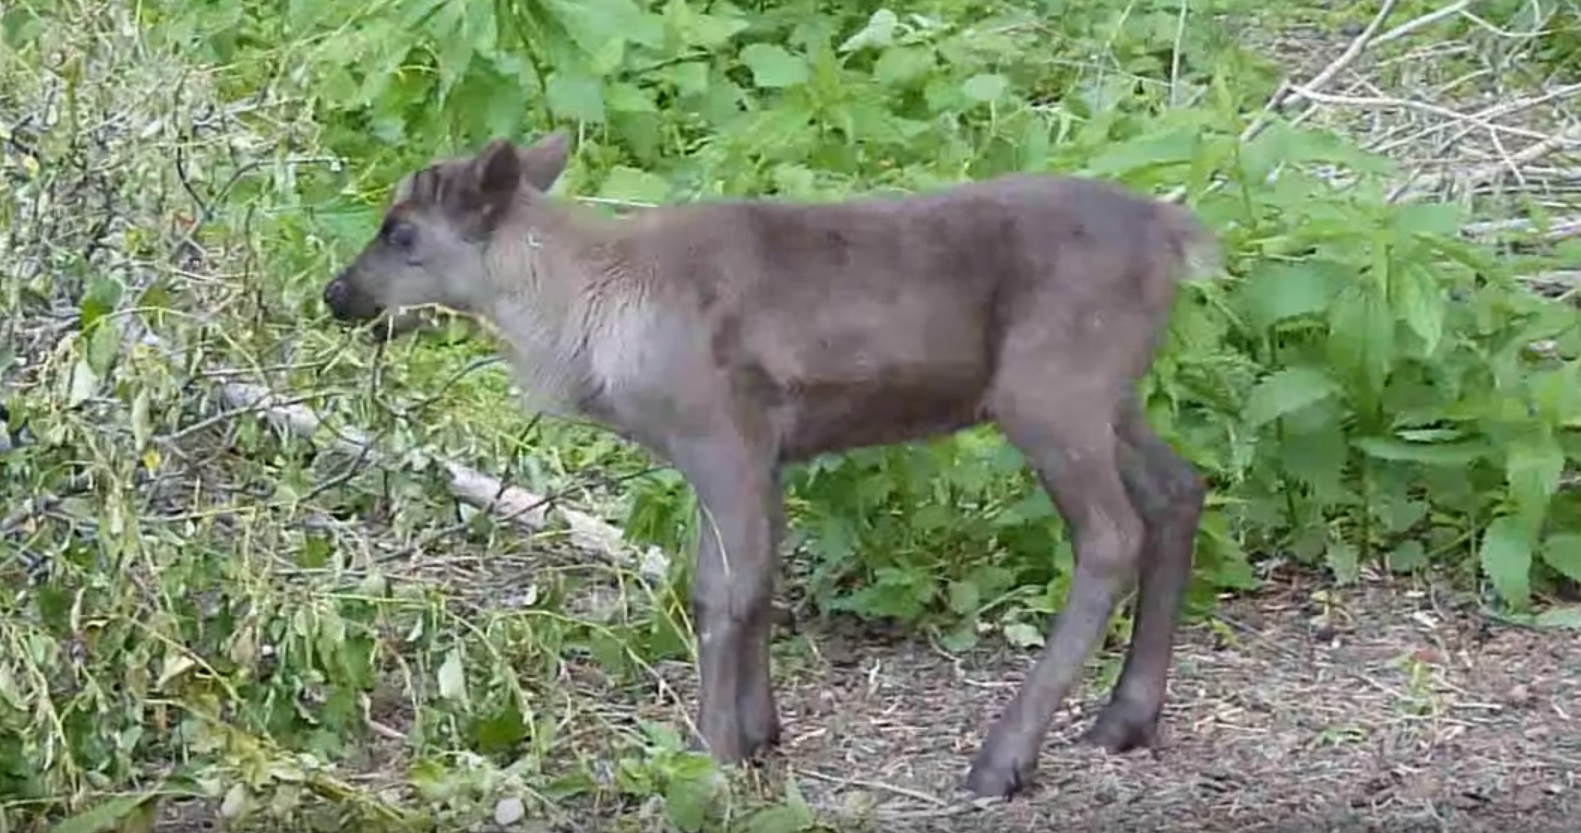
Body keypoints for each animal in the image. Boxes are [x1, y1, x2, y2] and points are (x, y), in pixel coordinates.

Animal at [321, 129, 1220, 799]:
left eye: (401, 231)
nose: (336, 294)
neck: (587, 320)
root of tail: (1176, 237)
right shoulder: (761, 455)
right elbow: (755, 582)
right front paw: (758, 734)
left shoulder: (719, 433)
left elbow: (723, 588)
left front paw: (711, 754)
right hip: (1110, 395)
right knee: (1179, 487)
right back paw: (1125, 717)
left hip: (1046, 390)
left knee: (1109, 535)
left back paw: (1003, 758)